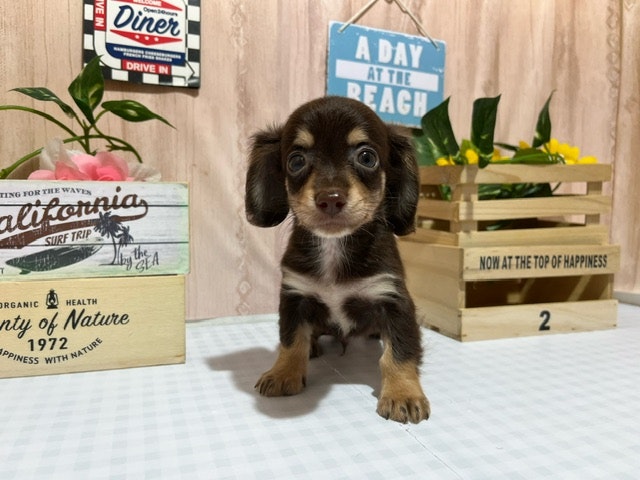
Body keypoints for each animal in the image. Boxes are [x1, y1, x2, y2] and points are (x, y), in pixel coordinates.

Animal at [245, 95, 430, 422]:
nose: (330, 199)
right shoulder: (294, 296)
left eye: (367, 157)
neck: (334, 247)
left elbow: (400, 351)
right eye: (296, 161)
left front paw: (403, 394)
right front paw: (283, 373)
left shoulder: (394, 300)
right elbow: (291, 339)